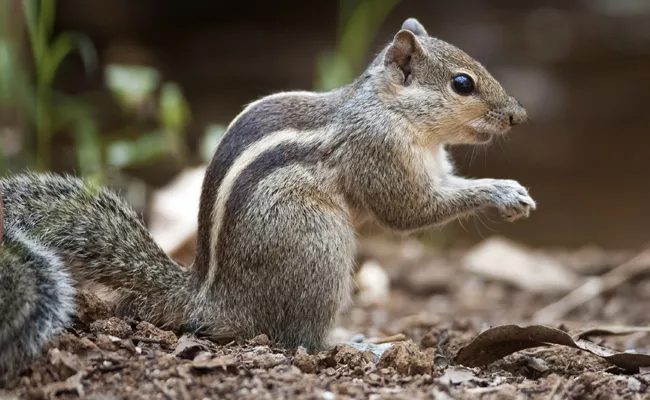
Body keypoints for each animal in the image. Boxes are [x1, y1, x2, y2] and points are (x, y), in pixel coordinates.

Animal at [0, 18, 532, 382]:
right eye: (462, 83)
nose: (518, 116)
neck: (390, 110)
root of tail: (211, 299)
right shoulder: (378, 152)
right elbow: (409, 211)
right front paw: (503, 190)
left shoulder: (435, 165)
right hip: (320, 247)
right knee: (301, 340)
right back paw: (362, 344)